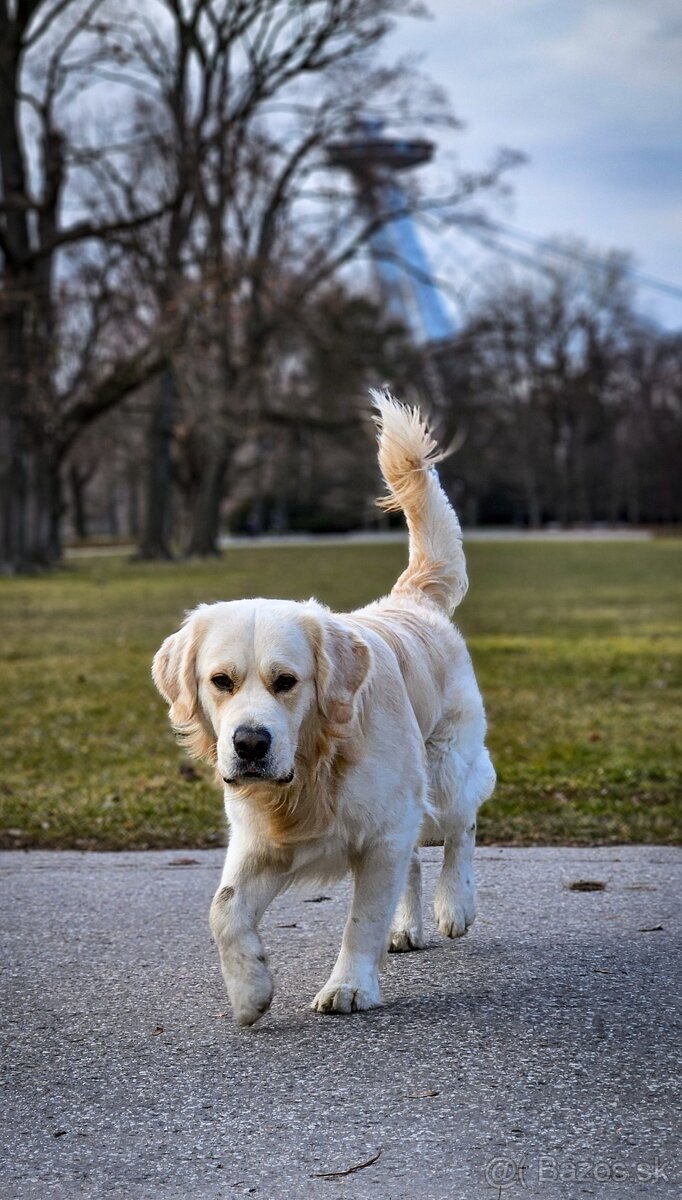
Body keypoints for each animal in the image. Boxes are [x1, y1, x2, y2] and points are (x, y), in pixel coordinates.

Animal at [153, 391, 494, 1022]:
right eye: (220, 681)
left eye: (287, 681)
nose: (250, 744)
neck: (314, 765)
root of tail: (410, 600)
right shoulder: (262, 841)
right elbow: (223, 909)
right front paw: (250, 990)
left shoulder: (383, 829)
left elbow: (361, 918)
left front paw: (350, 985)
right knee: (416, 858)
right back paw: (407, 926)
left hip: (444, 772)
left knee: (462, 823)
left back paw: (454, 905)